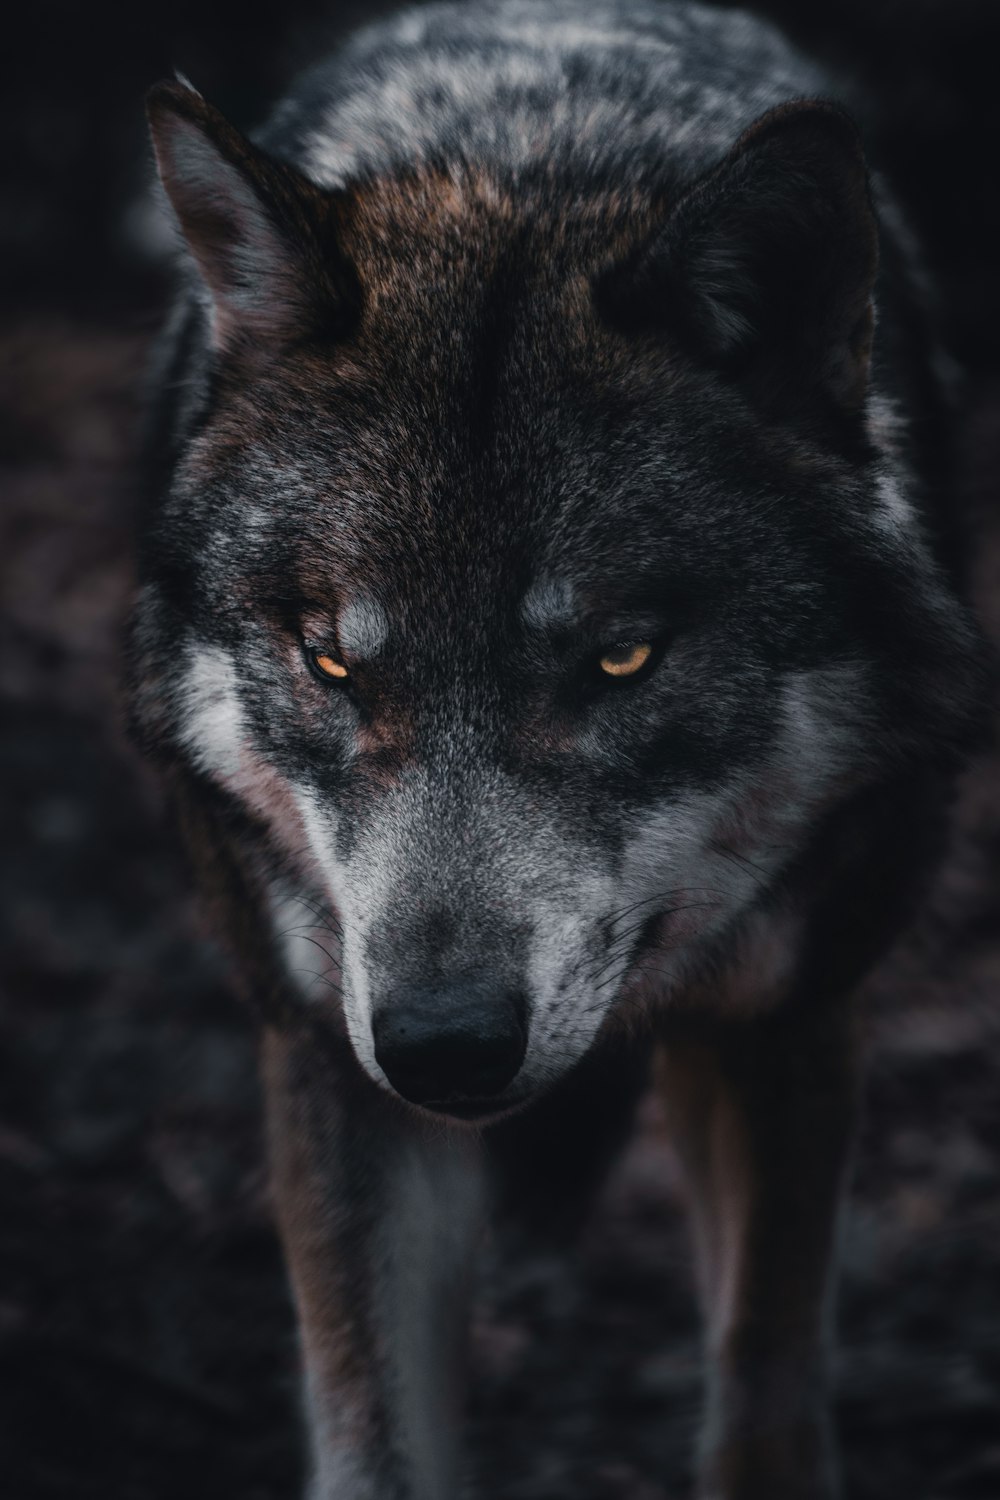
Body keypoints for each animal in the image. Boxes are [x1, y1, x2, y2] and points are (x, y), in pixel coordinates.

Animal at [128, 2, 989, 1488]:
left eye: (620, 658)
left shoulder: (792, 1020)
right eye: (333, 661)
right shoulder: (328, 1058)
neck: (525, 160)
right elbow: (376, 1440)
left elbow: (765, 1390)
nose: (443, 1044)